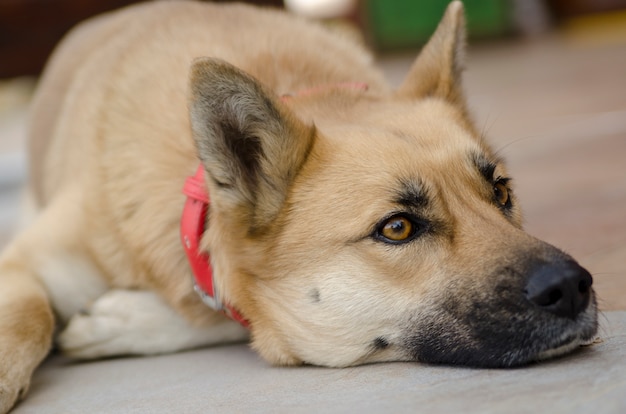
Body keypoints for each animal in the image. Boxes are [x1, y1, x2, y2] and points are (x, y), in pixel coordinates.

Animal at [0, 1, 596, 410]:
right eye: (397, 228)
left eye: (502, 194)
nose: (571, 287)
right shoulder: (21, 260)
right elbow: (28, 317)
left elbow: (231, 312)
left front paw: (121, 319)